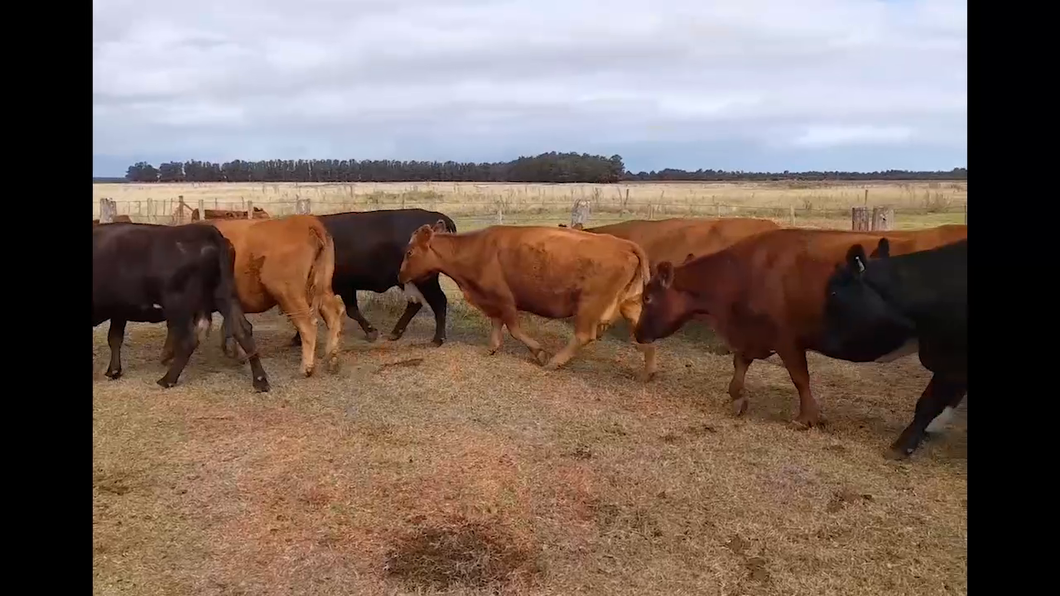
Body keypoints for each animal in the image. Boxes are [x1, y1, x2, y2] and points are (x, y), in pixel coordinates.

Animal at [92, 221, 271, 390]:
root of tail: (209, 233)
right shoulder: (119, 310)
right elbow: (115, 338)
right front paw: (114, 371)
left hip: (179, 306)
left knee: (189, 340)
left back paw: (167, 379)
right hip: (225, 295)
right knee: (242, 330)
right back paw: (260, 381)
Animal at [286, 208, 460, 347]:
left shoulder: (345, 287)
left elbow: (352, 311)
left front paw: (371, 332)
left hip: (424, 281)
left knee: (438, 301)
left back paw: (438, 339)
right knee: (415, 303)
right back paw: (396, 333)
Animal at [398, 220, 657, 377]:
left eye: (409, 252)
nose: (400, 276)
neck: (475, 251)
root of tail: (623, 244)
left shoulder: (504, 298)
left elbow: (513, 328)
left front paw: (539, 352)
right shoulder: (491, 299)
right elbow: (496, 323)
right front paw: (492, 347)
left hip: (588, 304)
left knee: (583, 335)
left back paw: (555, 362)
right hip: (628, 303)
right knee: (644, 331)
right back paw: (649, 371)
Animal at [627, 223, 970, 426]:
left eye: (648, 297)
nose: (638, 332)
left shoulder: (787, 339)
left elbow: (799, 377)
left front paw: (808, 417)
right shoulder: (755, 334)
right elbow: (740, 364)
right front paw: (738, 397)